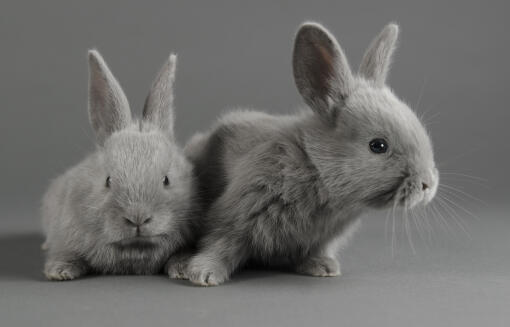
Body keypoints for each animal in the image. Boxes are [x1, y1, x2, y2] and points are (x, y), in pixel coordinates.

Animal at [40, 51, 193, 282]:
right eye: (108, 180)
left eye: (166, 180)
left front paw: (183, 268)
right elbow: (67, 252)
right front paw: (59, 271)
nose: (137, 218)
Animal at [175, 22, 438, 288]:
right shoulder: (235, 214)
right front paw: (203, 274)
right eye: (378, 146)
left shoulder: (318, 239)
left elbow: (312, 253)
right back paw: (179, 266)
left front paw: (324, 267)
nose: (428, 183)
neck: (314, 168)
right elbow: (220, 244)